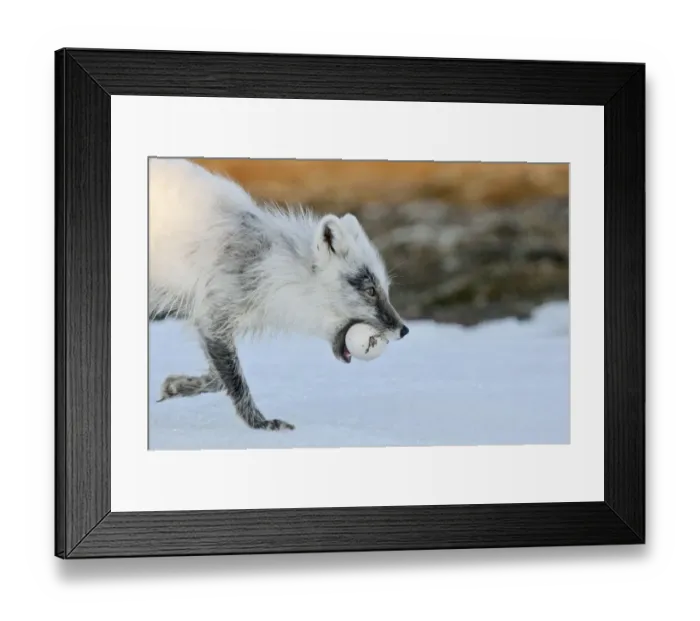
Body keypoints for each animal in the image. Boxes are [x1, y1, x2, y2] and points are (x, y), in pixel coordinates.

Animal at [148, 157, 409, 431]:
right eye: (370, 290)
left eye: (384, 289)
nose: (404, 330)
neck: (270, 265)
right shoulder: (214, 317)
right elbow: (235, 383)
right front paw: (261, 424)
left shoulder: (214, 321)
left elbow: (217, 380)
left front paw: (176, 387)